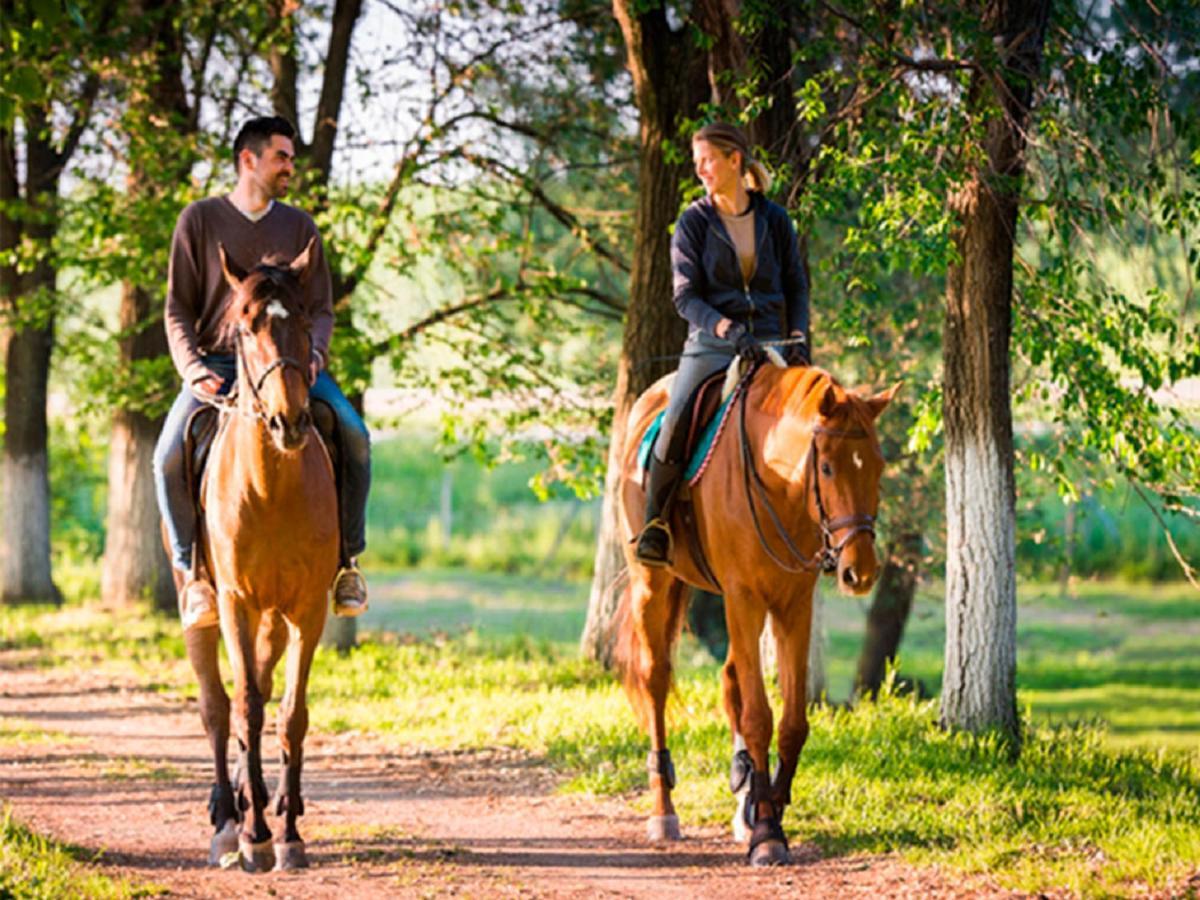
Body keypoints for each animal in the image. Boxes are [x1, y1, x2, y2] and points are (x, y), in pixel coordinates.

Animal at [175, 241, 340, 873]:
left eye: (304, 323)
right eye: (245, 329)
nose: (289, 421)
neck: (270, 489)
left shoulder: (307, 610)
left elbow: (290, 713)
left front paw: (288, 833)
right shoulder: (236, 605)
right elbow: (242, 706)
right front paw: (253, 836)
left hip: (274, 617)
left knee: (265, 694)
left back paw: (259, 797)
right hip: (202, 607)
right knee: (217, 707)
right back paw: (227, 816)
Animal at [614, 362, 897, 868]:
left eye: (878, 466)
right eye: (827, 466)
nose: (859, 572)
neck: (777, 482)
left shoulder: (793, 605)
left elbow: (791, 722)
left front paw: (768, 808)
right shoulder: (744, 598)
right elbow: (759, 717)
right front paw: (767, 832)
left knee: (730, 680)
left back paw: (743, 797)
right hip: (653, 584)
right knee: (656, 680)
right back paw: (664, 812)